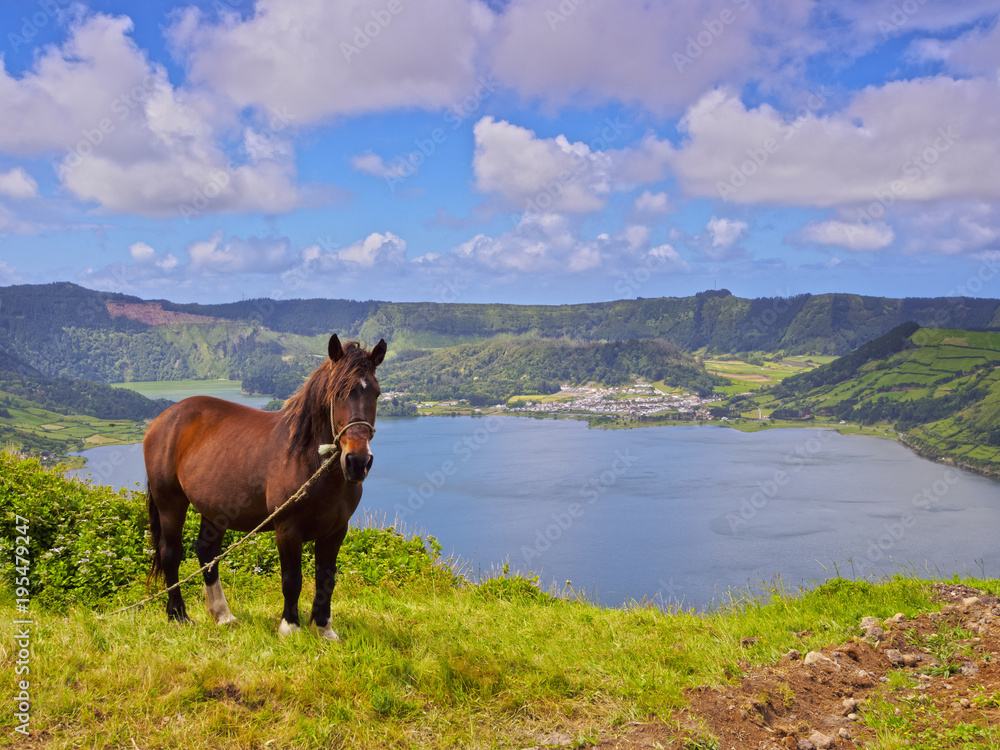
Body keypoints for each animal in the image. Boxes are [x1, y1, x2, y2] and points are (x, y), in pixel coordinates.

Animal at [143, 334, 386, 640]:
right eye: (339, 393)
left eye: (376, 394)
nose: (357, 462)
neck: (310, 462)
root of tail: (161, 419)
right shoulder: (287, 528)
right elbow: (292, 579)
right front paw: (290, 627)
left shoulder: (336, 531)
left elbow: (326, 578)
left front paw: (323, 628)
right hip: (170, 503)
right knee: (171, 554)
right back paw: (178, 614)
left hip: (215, 510)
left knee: (207, 552)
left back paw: (223, 615)